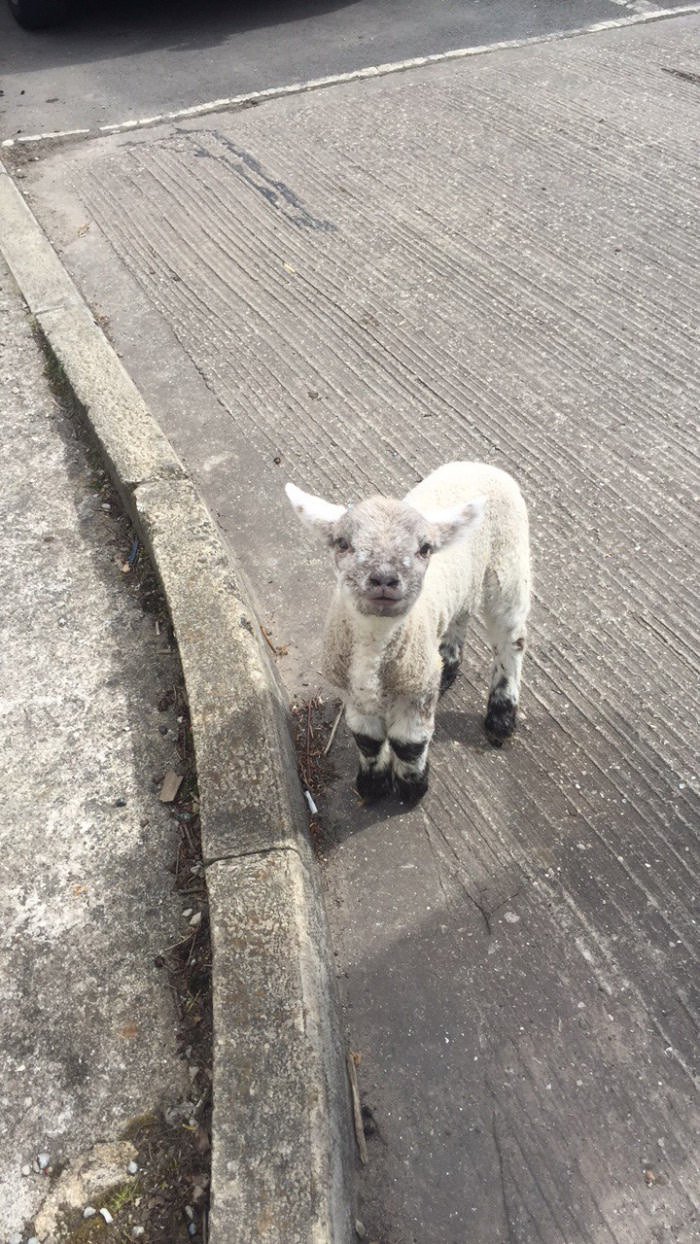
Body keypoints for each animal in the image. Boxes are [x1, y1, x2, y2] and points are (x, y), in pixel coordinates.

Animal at [284, 462, 532, 801]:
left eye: (425, 549)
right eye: (342, 543)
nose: (384, 578)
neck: (373, 648)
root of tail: (478, 464)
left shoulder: (416, 689)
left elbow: (409, 743)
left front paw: (412, 788)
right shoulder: (351, 687)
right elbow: (367, 739)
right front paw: (372, 785)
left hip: (508, 562)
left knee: (511, 638)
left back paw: (502, 714)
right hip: (465, 582)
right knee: (461, 613)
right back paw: (448, 664)